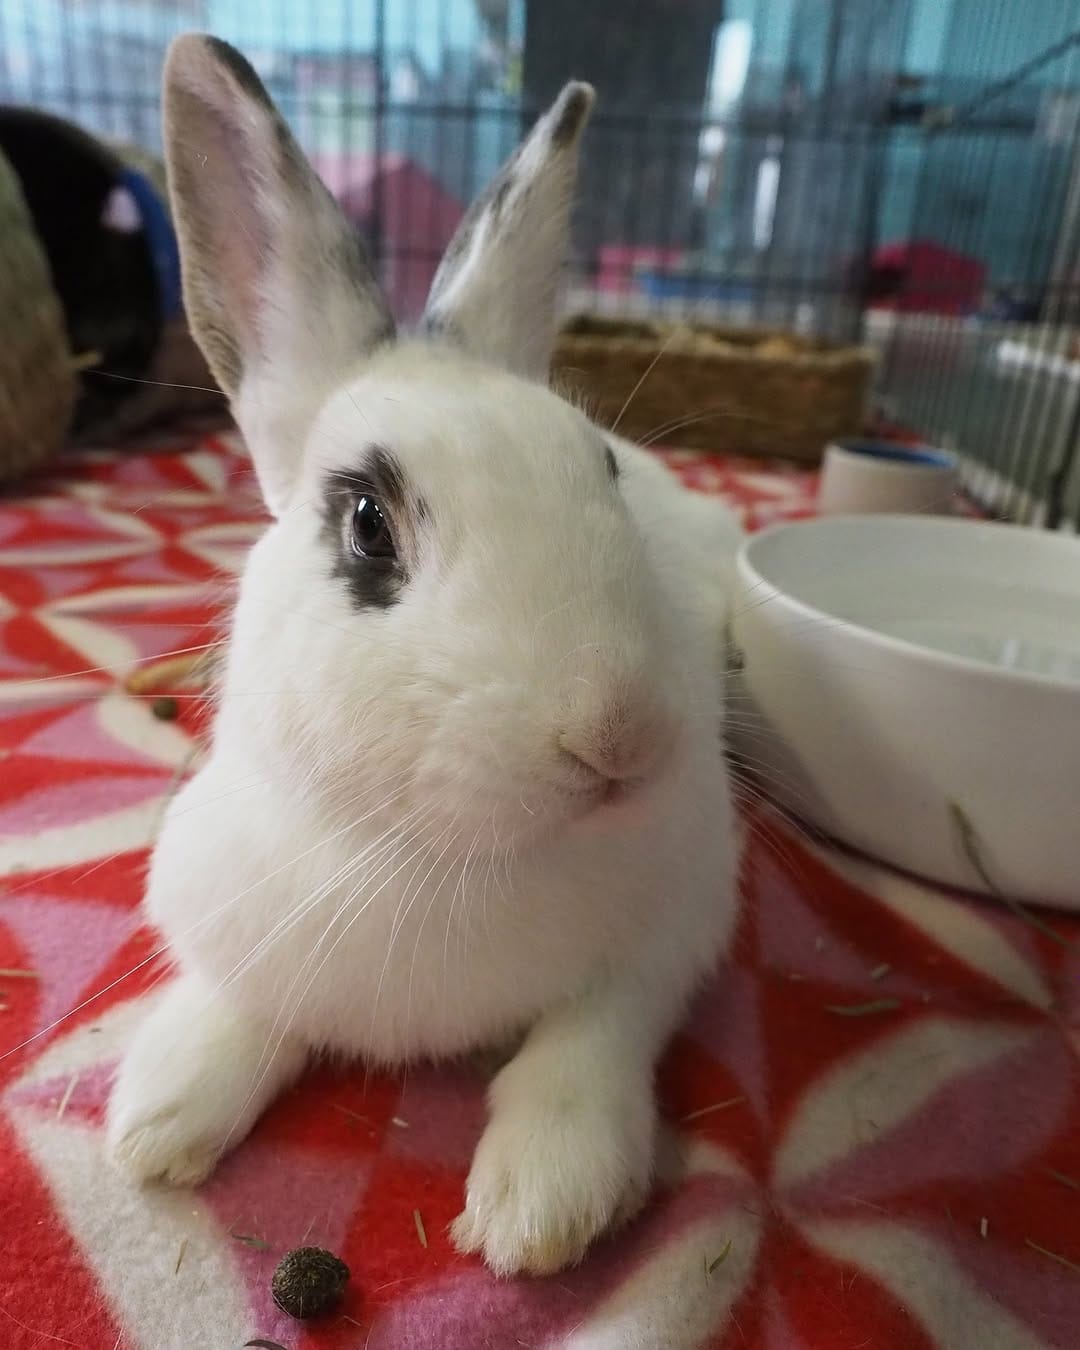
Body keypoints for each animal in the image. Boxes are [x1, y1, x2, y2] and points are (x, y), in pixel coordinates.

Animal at [106, 33, 743, 1279]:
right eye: (367, 526)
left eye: (601, 466)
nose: (619, 735)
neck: (437, 856)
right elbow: (236, 999)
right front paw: (156, 1118)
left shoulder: (679, 920)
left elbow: (596, 1032)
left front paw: (542, 1206)